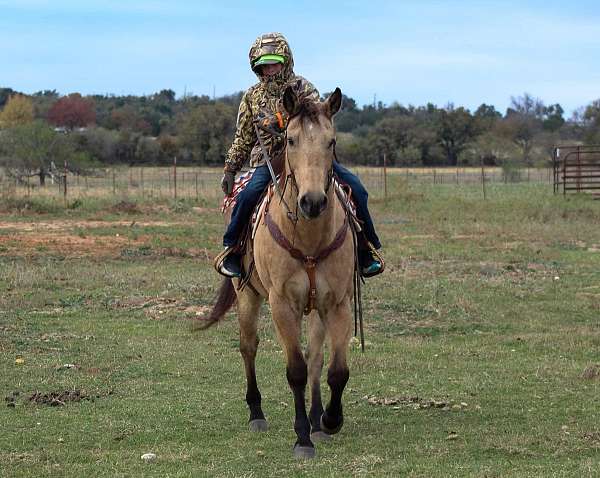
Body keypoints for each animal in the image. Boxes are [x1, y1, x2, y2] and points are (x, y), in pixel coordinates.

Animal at [199, 87, 354, 460]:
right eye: (292, 140)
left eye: (331, 141)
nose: (312, 202)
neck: (310, 238)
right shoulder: (282, 304)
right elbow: (295, 370)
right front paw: (302, 439)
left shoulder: (337, 303)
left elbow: (335, 370)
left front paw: (328, 421)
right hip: (247, 296)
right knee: (248, 346)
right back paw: (256, 413)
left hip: (315, 309)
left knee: (316, 357)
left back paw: (316, 418)